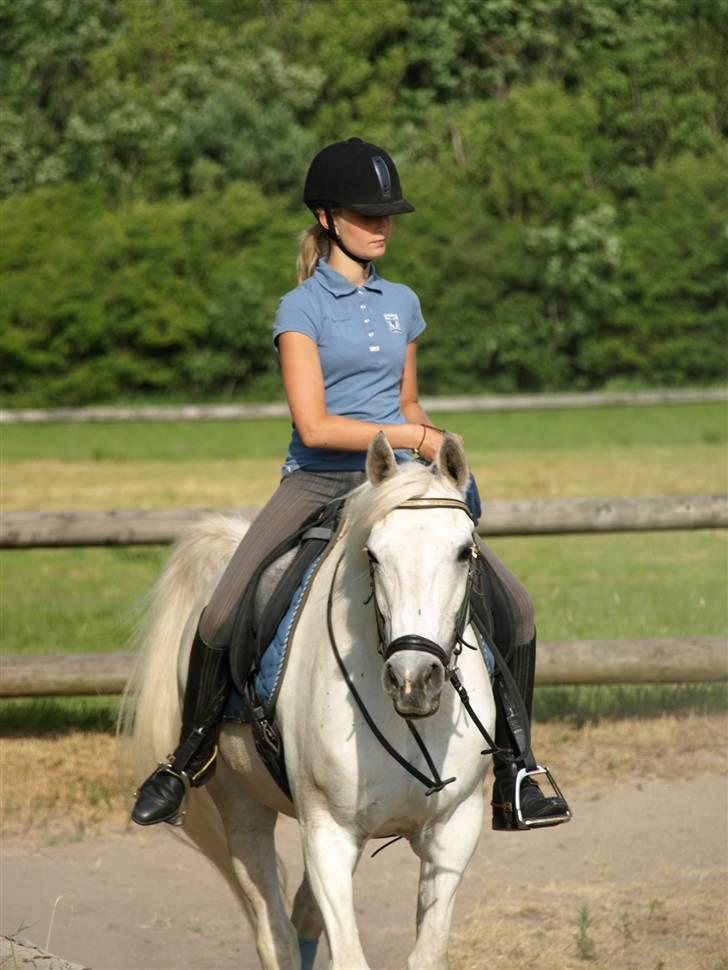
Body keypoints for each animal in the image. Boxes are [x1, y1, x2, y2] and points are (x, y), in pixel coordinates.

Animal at [123, 434, 494, 964]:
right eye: (373, 555)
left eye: (465, 551)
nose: (413, 679)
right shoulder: (327, 835)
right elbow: (346, 955)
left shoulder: (454, 829)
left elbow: (426, 953)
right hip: (241, 807)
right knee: (275, 931)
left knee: (301, 918)